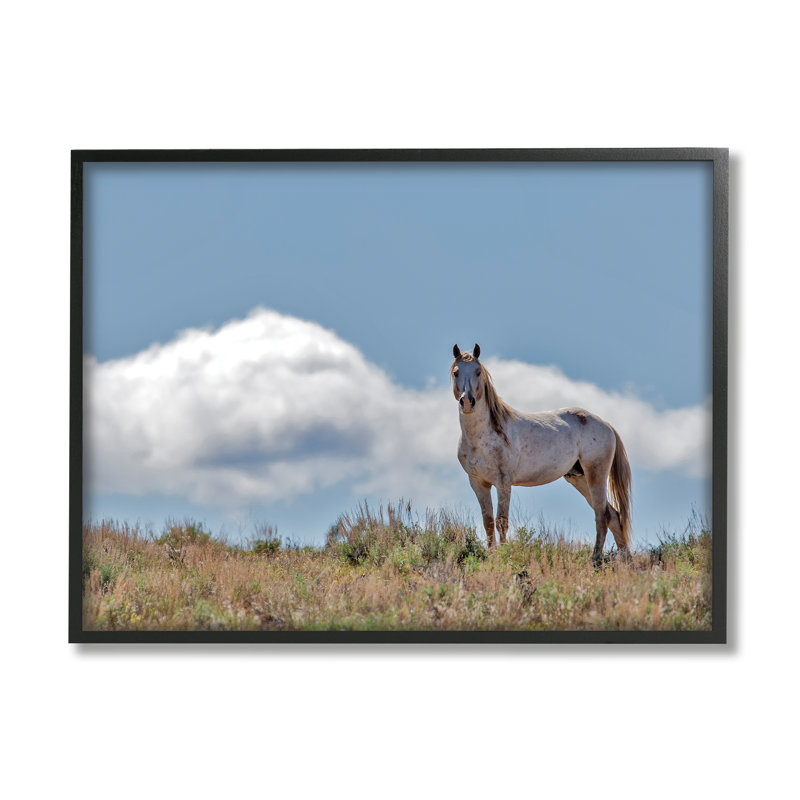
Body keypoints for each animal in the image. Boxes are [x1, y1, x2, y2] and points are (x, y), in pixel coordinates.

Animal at [451, 343, 632, 563]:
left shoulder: (503, 482)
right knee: (613, 515)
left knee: (602, 515)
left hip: (595, 475)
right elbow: (488, 520)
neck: (483, 436)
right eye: (456, 372)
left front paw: (503, 554)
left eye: (478, 371)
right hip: (579, 478)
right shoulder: (478, 482)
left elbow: (501, 520)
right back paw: (625, 559)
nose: (467, 402)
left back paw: (595, 558)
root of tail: (605, 424)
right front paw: (491, 554)